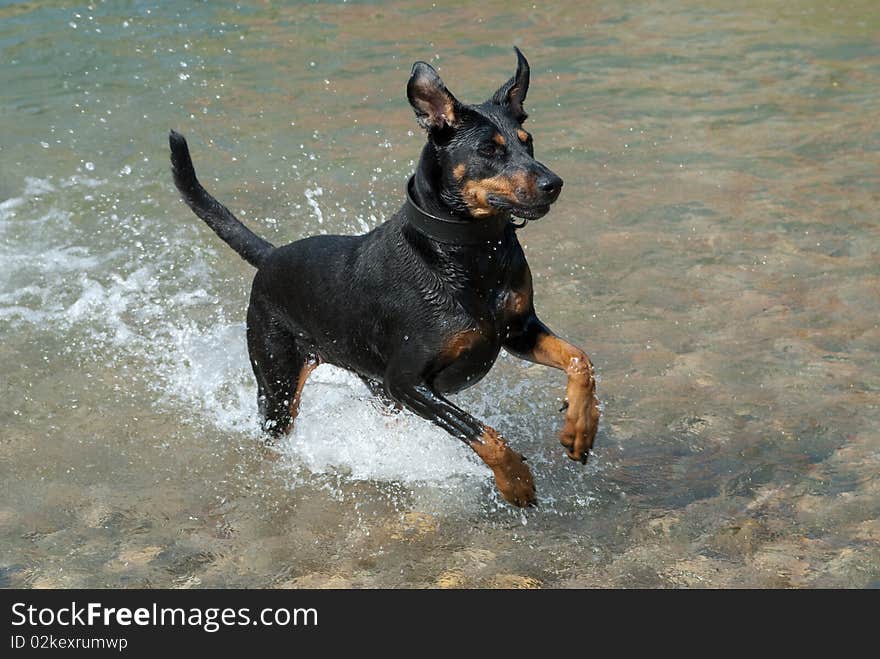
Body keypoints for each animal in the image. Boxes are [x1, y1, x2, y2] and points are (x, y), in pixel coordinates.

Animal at [169, 49, 600, 508]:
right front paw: (516, 481)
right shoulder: (406, 381)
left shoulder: (517, 330)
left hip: (373, 388)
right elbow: (481, 432)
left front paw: (580, 430)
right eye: (488, 149)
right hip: (279, 384)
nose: (554, 183)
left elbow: (580, 359)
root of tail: (271, 256)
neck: (469, 252)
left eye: (527, 140)